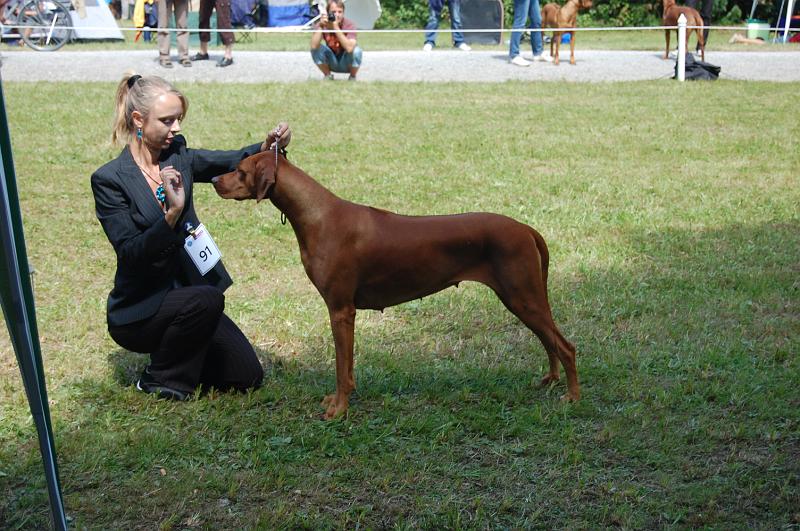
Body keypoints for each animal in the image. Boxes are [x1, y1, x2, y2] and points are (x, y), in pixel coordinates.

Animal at [209, 152, 580, 422]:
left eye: (239, 170)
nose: (212, 180)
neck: (317, 216)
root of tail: (525, 228)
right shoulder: (346, 313)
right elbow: (348, 366)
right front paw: (341, 399)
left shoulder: (340, 310)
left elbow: (340, 367)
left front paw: (338, 409)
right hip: (521, 298)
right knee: (549, 341)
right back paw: (551, 380)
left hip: (523, 297)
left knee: (566, 346)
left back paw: (572, 395)